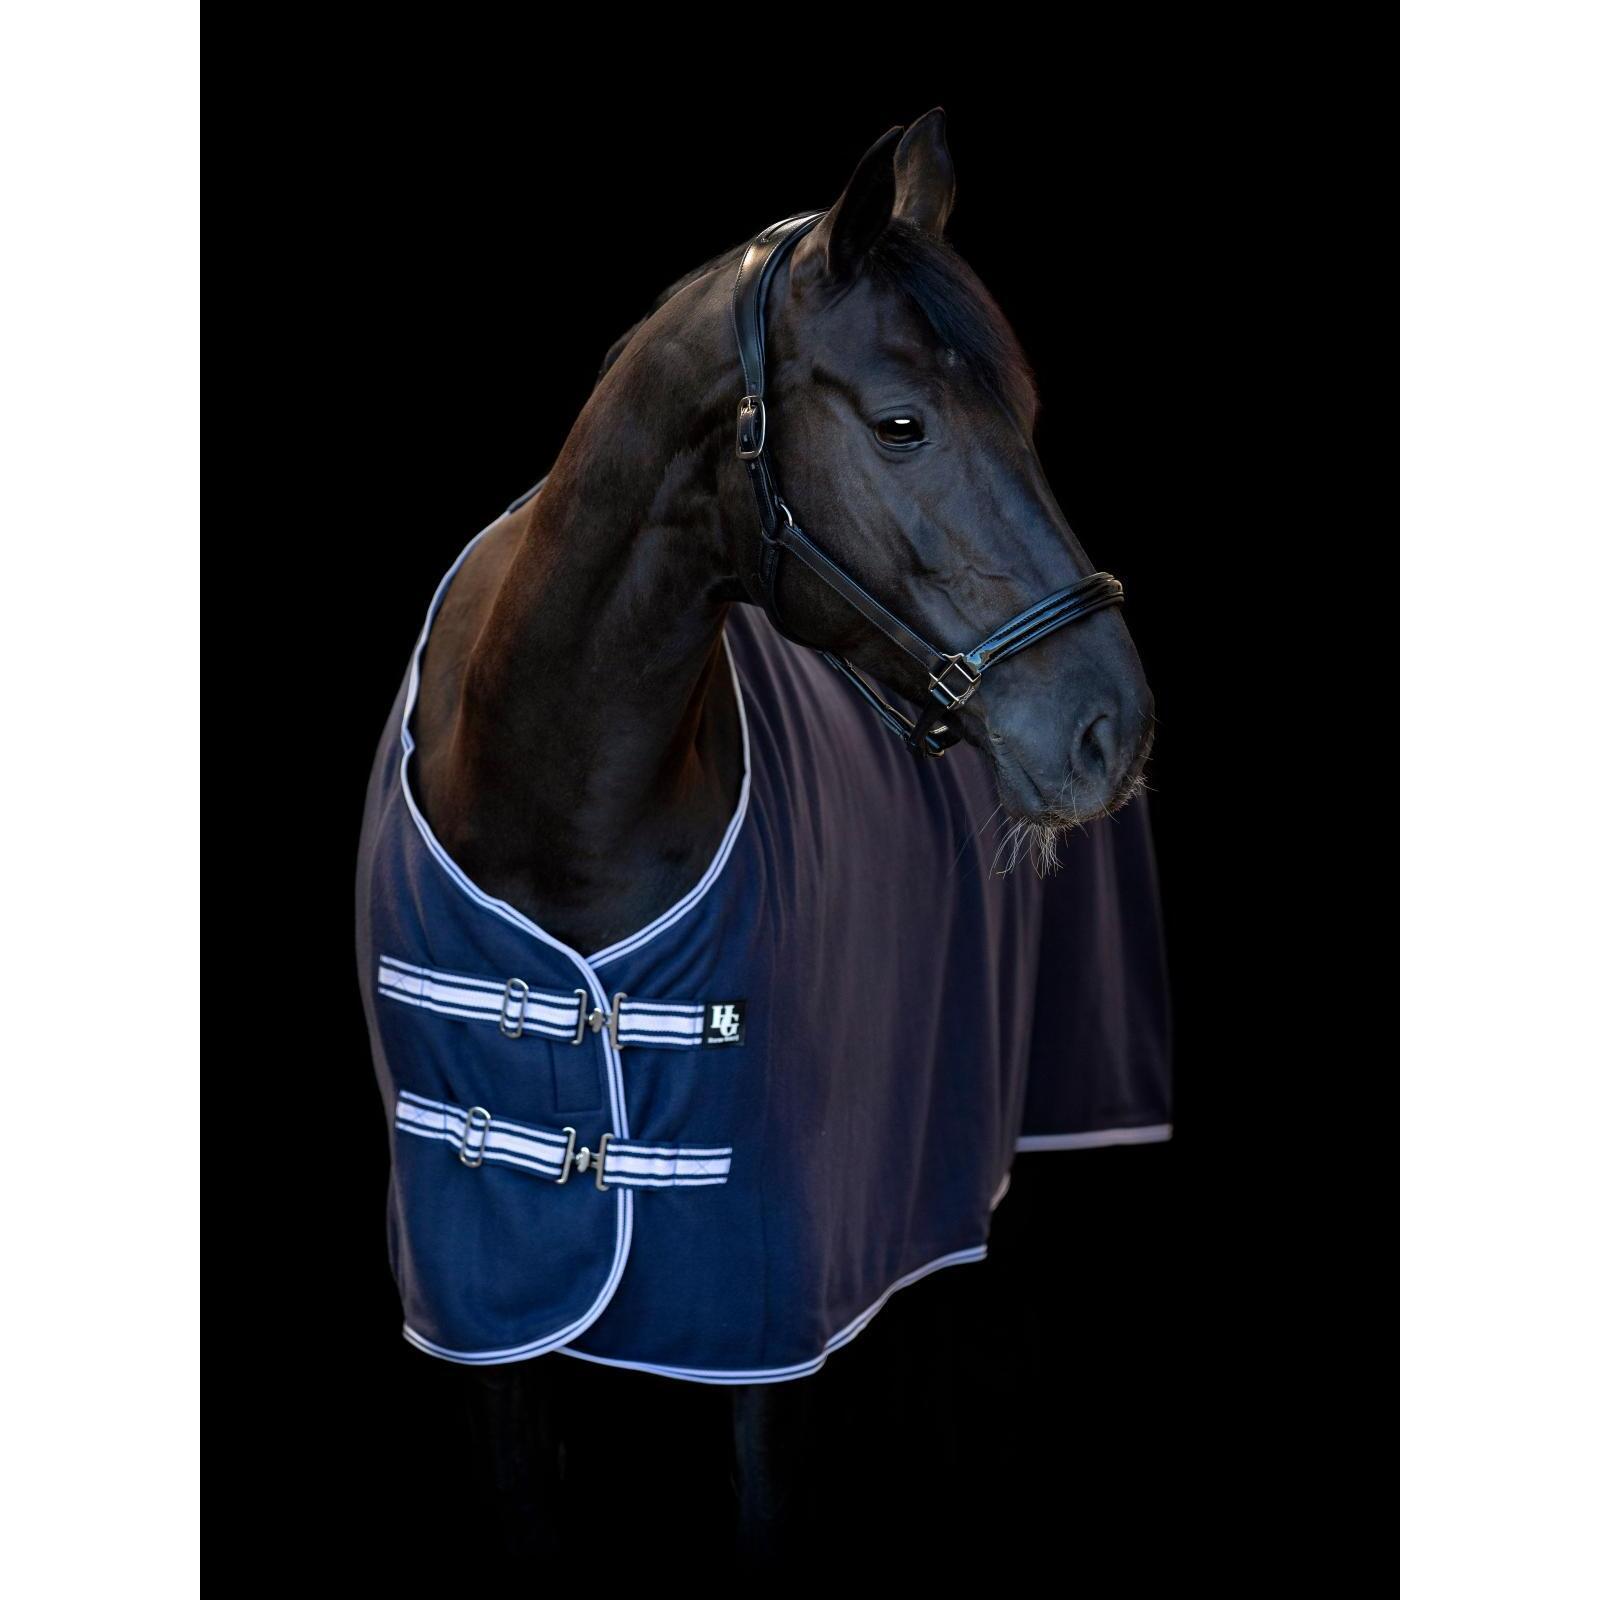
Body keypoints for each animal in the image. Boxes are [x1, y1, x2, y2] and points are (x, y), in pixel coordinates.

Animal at [356, 107, 1162, 1562]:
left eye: (1025, 412)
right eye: (900, 424)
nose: (1106, 728)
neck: (552, 801)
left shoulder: (761, 1315)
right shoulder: (482, 1305)